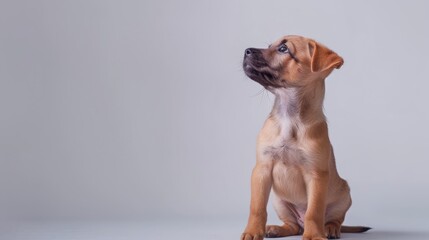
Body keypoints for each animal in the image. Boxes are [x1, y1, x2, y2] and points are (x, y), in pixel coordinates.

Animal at [241, 35, 368, 240]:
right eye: (270, 46)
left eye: (283, 49)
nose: (247, 51)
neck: (289, 117)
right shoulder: (262, 169)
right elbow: (257, 207)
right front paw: (252, 231)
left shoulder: (315, 175)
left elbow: (313, 212)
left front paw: (314, 235)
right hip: (280, 202)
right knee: (293, 226)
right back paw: (275, 229)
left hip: (344, 196)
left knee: (333, 219)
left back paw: (330, 229)